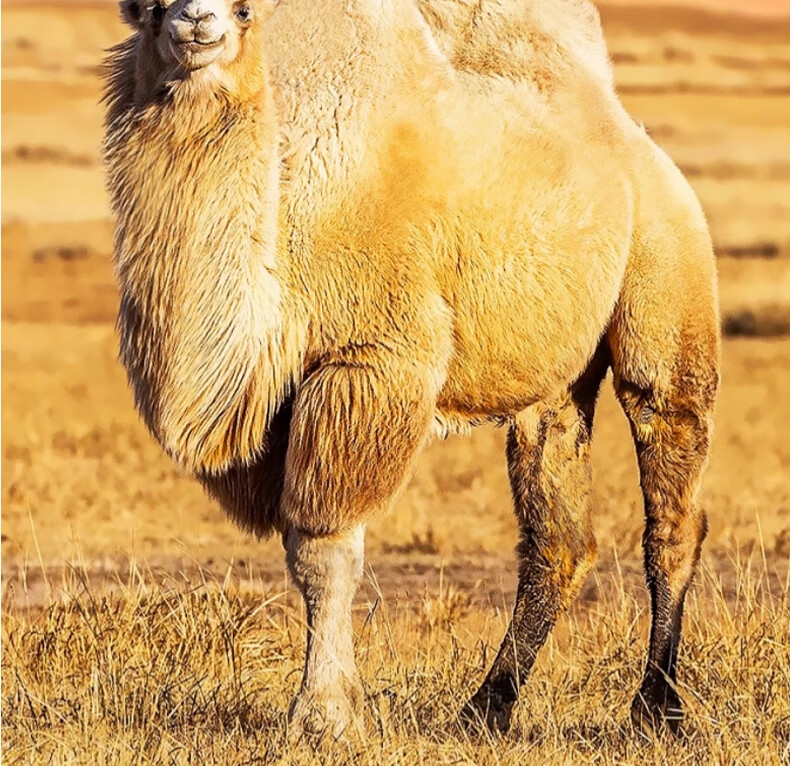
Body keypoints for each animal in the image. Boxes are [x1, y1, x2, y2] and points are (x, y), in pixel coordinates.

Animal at [104, 0, 720, 742]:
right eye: (151, 7)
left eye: (247, 10)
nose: (197, 24)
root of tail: (638, 147)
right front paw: (339, 705)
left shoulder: (369, 362)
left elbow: (324, 550)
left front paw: (323, 716)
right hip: (554, 380)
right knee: (558, 534)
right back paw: (486, 707)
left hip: (669, 278)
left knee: (671, 502)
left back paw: (656, 708)